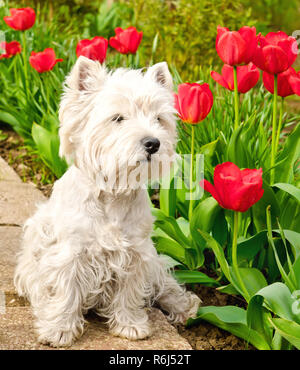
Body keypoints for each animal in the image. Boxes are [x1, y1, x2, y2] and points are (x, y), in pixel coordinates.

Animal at [14, 57, 202, 346]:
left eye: (158, 119)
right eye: (118, 118)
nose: (153, 143)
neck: (114, 193)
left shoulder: (136, 252)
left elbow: (129, 292)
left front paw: (130, 326)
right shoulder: (69, 253)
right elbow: (65, 291)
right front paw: (59, 329)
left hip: (154, 262)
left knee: (163, 283)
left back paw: (184, 306)